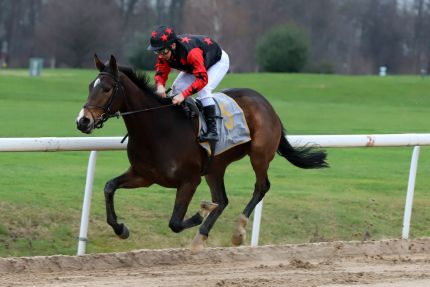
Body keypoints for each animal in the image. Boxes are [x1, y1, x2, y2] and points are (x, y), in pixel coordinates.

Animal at [75, 55, 328, 253]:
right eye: (89, 86)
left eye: (106, 88)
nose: (83, 121)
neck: (159, 129)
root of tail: (266, 103)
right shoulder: (144, 176)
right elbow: (109, 187)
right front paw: (121, 229)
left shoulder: (189, 180)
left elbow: (175, 222)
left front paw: (201, 212)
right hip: (215, 167)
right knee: (223, 199)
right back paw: (202, 236)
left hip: (259, 154)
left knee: (261, 186)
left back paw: (237, 231)